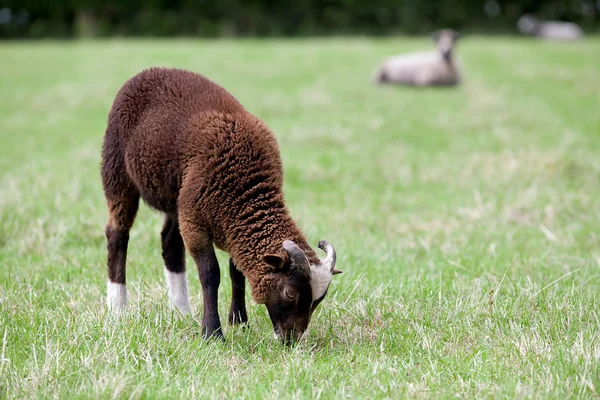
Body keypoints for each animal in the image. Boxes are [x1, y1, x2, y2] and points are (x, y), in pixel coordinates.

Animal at [101, 67, 340, 342]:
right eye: (290, 293)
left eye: (318, 300)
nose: (292, 341)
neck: (246, 192)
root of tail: (151, 70)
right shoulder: (196, 223)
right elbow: (210, 275)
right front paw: (212, 333)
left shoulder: (228, 224)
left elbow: (236, 272)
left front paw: (239, 321)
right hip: (117, 172)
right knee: (117, 236)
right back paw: (118, 308)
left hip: (178, 196)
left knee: (169, 242)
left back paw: (181, 310)